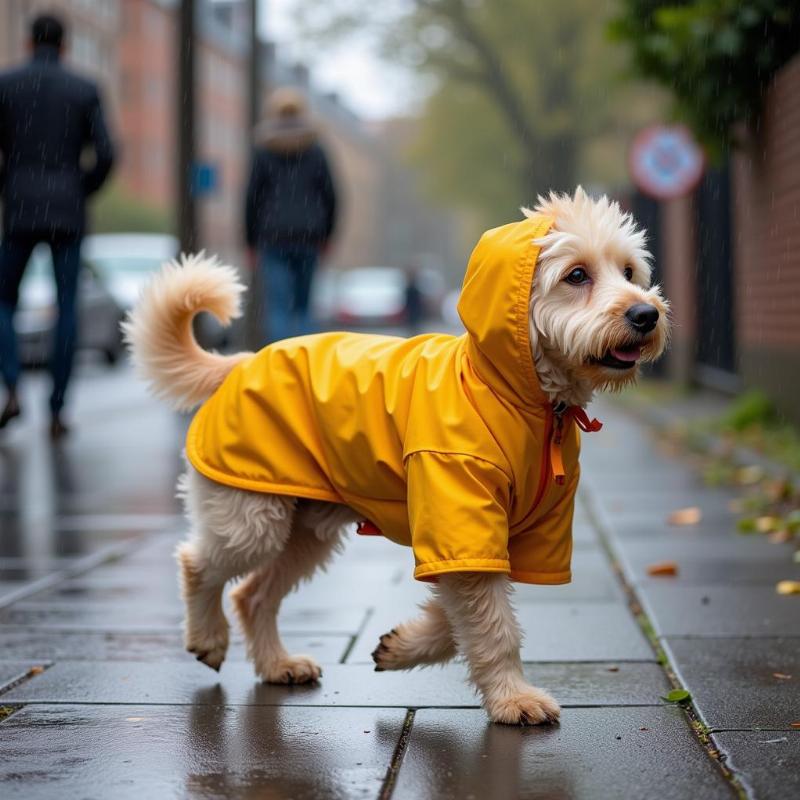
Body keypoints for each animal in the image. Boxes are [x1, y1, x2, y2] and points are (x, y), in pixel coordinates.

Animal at [123, 188, 668, 724]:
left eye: (629, 272)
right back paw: (208, 637)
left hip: (305, 531)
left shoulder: (501, 537)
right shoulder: (457, 518)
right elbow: (494, 626)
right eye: (576, 275)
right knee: (197, 563)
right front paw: (514, 700)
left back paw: (278, 664)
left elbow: (463, 617)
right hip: (251, 519)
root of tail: (240, 363)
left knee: (251, 594)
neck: (516, 398)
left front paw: (404, 648)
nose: (647, 315)